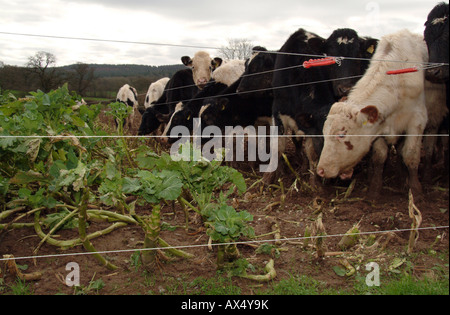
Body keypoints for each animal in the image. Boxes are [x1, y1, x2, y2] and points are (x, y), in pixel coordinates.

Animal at [316, 29, 442, 198]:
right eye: (324, 133)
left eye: (341, 134)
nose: (321, 170)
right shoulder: (379, 126)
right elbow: (379, 157)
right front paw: (374, 189)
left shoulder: (417, 121)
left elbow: (411, 155)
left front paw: (415, 190)